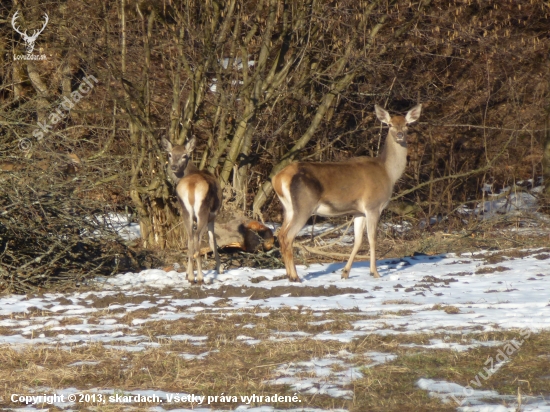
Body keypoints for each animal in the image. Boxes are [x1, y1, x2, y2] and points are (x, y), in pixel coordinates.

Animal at [163, 136, 223, 284]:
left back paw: (190, 276)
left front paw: (187, 273)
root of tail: (191, 186)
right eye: (170, 154)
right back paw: (200, 277)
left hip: (185, 211)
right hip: (203, 211)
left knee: (190, 237)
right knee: (197, 238)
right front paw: (220, 268)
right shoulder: (213, 216)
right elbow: (213, 241)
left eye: (184, 155)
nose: (173, 167)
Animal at [274, 104, 424, 282]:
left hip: (288, 208)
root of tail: (278, 178)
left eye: (407, 124)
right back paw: (295, 277)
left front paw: (345, 272)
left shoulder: (358, 212)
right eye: (389, 124)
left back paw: (290, 275)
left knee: (281, 234)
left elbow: (358, 241)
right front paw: (375, 272)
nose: (400, 134)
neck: (388, 173)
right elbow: (372, 239)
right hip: (304, 205)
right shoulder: (373, 206)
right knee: (288, 236)